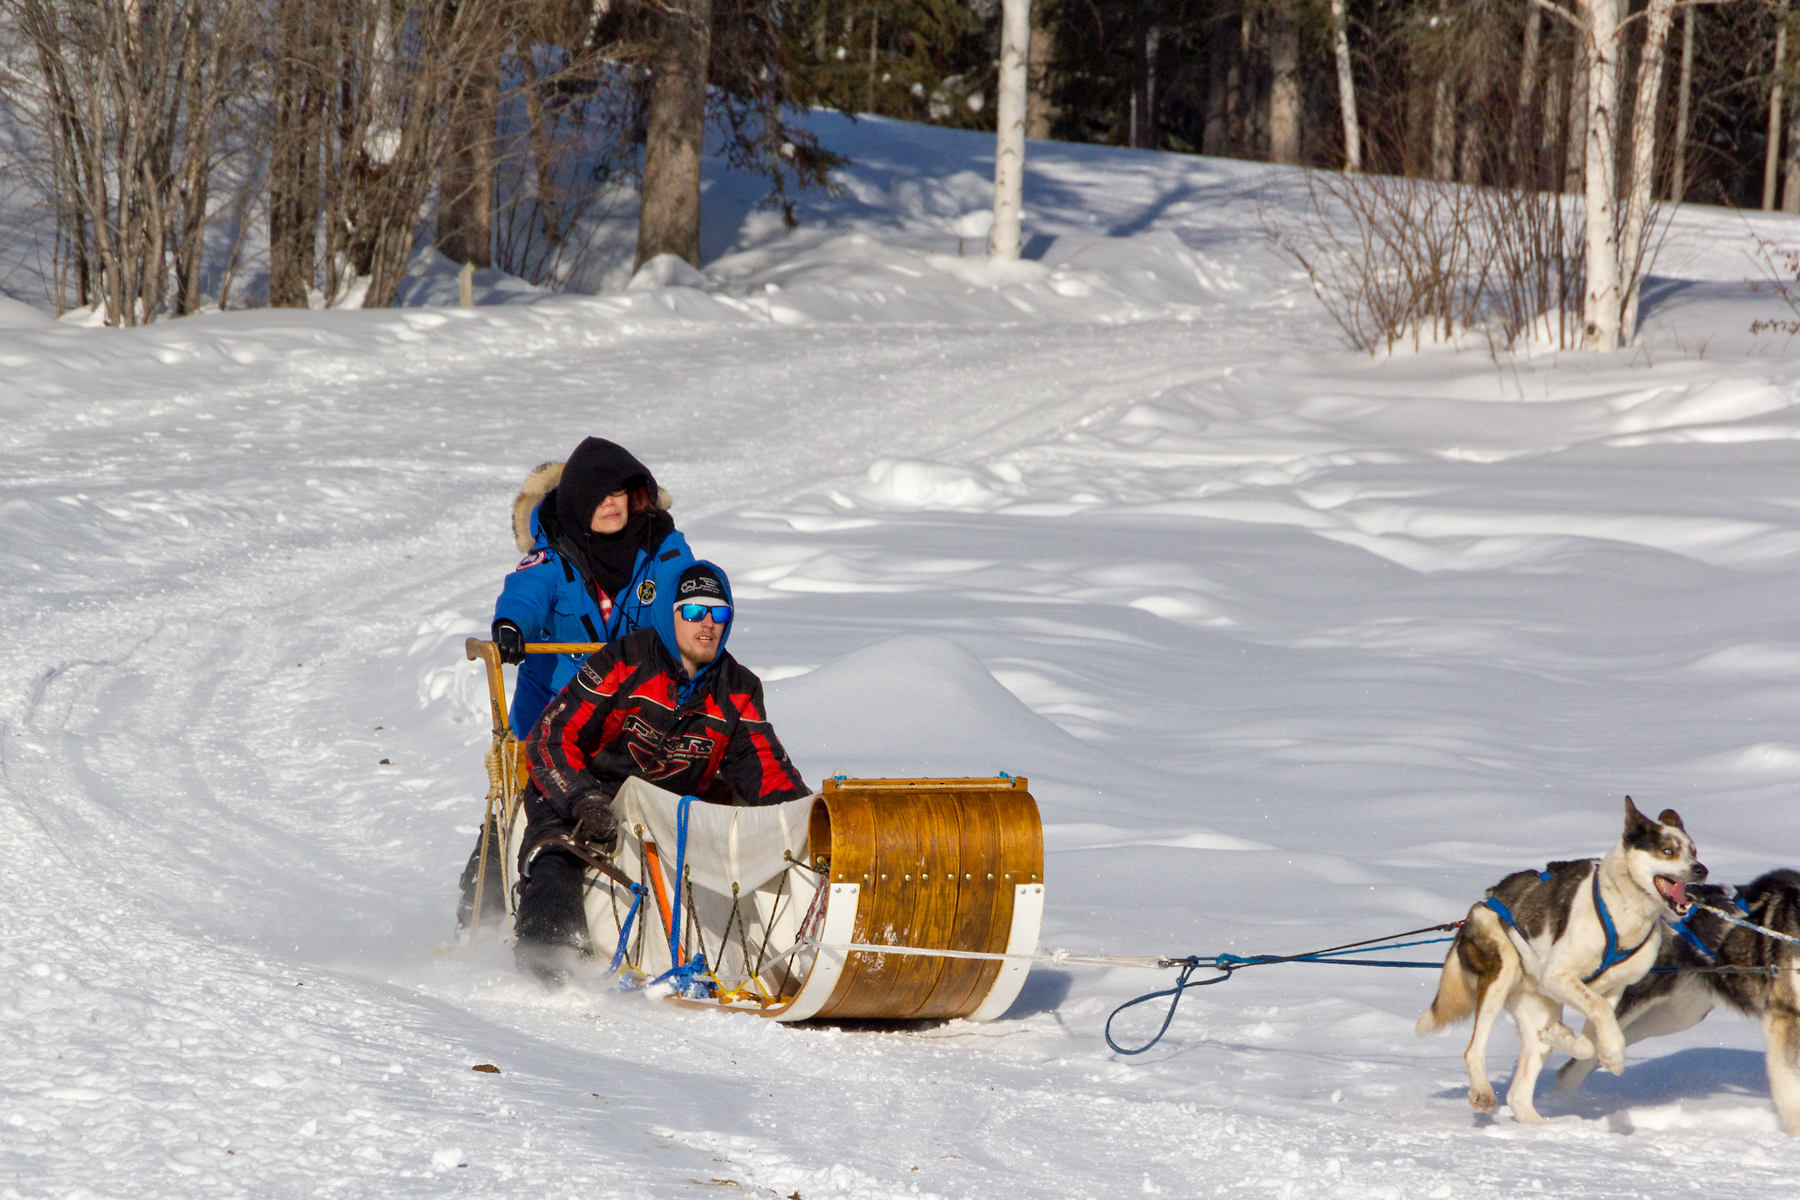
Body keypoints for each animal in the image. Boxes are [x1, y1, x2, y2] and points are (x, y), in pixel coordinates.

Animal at [1418, 798, 1699, 1129]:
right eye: (1668, 850)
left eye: (1693, 850)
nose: (1701, 869)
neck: (1623, 911)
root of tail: (1476, 909)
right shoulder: (1557, 977)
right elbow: (1599, 1014)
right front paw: (1615, 1054)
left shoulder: (1612, 989)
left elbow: (1591, 1038)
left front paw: (1573, 1039)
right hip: (1503, 968)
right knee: (1474, 1050)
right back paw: (1483, 1091)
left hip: (1541, 1008)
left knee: (1518, 1094)